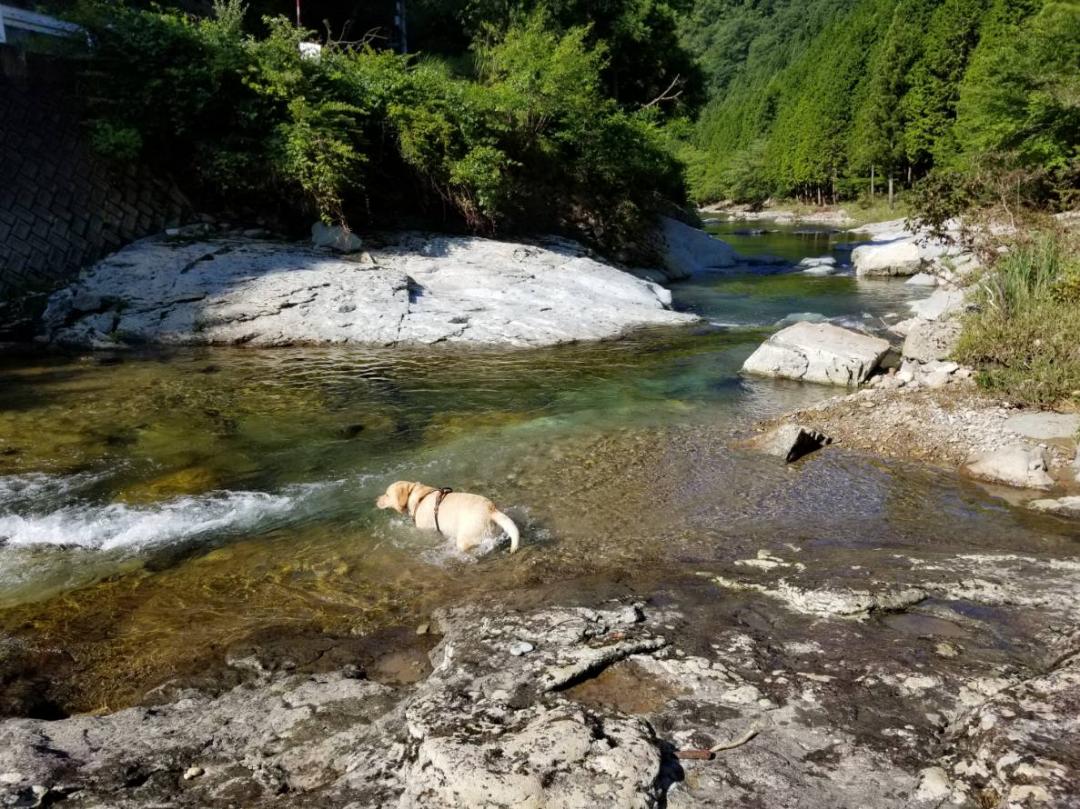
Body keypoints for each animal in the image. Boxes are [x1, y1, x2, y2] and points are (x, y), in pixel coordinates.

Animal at [375, 483, 518, 553]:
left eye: (387, 495)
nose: (375, 499)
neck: (420, 497)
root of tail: (490, 510)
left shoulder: (426, 530)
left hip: (465, 538)